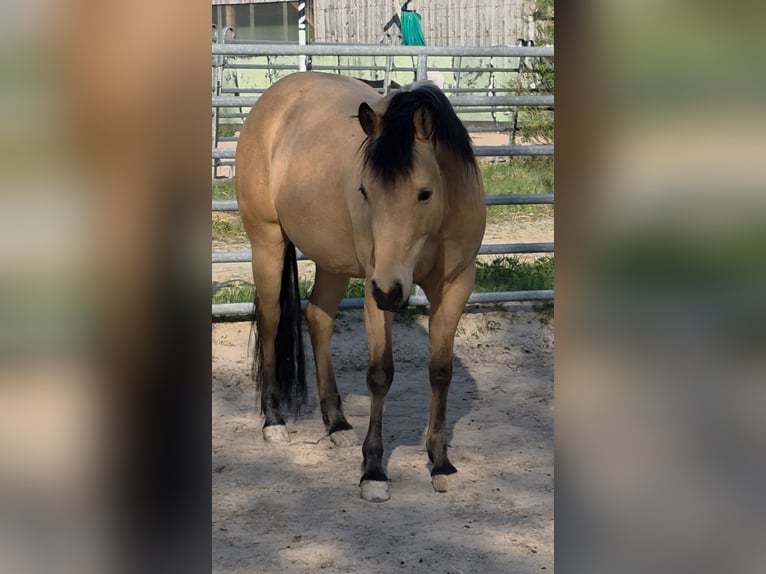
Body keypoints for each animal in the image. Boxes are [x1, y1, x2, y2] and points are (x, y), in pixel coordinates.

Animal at [235, 72, 486, 502]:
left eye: (424, 192)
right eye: (365, 190)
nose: (390, 292)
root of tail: (273, 99)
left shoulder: (455, 286)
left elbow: (440, 371)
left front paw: (441, 463)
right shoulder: (374, 287)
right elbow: (380, 375)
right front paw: (373, 470)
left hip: (332, 263)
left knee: (318, 319)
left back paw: (336, 423)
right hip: (267, 243)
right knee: (271, 322)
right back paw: (274, 422)